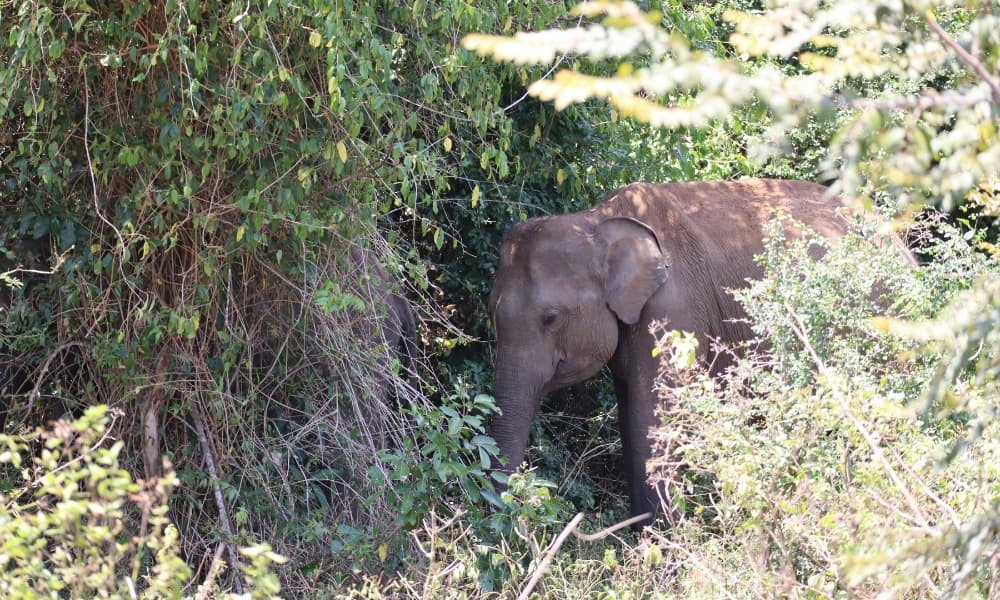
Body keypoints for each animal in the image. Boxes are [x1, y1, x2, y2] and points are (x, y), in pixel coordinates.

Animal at [488, 178, 856, 524]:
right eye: (492, 312)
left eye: (551, 318)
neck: (596, 220)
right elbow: (632, 416)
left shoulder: (674, 308)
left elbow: (654, 414)